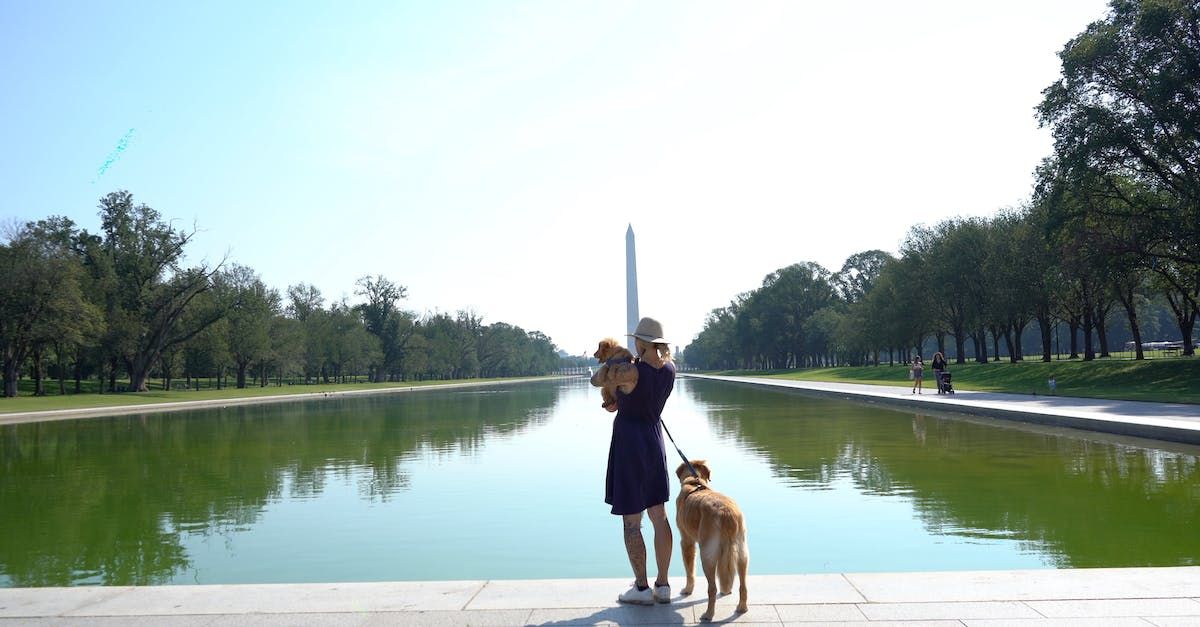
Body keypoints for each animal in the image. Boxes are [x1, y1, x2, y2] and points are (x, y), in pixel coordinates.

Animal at [676, 458, 748, 619]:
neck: (694, 482)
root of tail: (727, 513)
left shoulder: (686, 541)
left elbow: (689, 570)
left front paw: (687, 589)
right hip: (742, 552)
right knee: (743, 584)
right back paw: (742, 607)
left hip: (707, 554)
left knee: (712, 588)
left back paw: (708, 614)